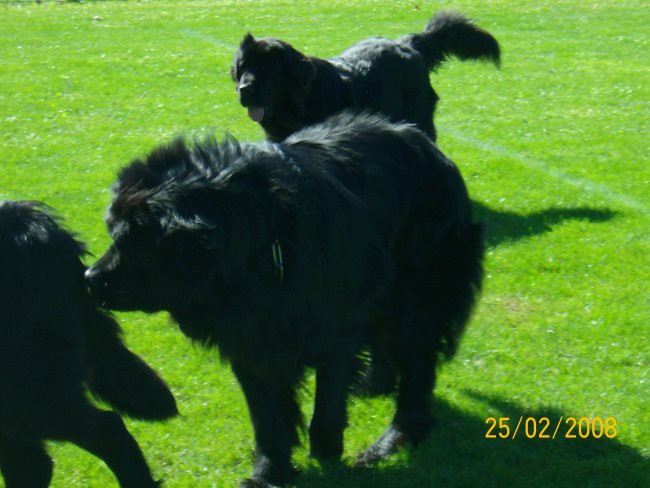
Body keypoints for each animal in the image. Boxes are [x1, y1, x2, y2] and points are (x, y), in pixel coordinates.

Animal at [85, 111, 480, 488]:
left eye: (129, 243)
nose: (88, 278)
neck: (257, 251)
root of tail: (427, 144)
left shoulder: (332, 334)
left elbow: (326, 407)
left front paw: (328, 460)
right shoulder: (250, 344)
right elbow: (268, 419)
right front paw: (270, 474)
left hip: (418, 294)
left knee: (417, 368)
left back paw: (390, 441)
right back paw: (375, 386)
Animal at [230, 10, 498, 141]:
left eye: (269, 70)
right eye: (242, 68)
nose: (245, 90)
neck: (300, 102)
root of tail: (407, 42)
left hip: (418, 116)